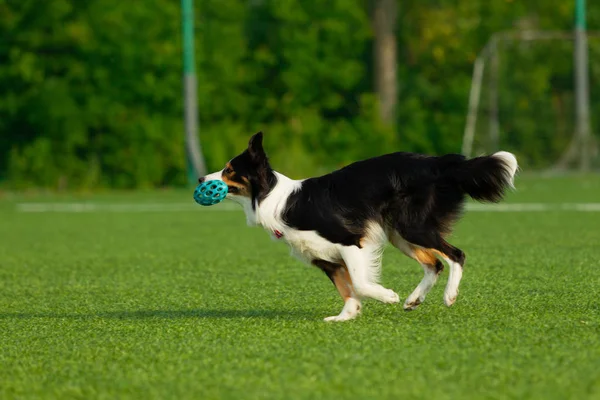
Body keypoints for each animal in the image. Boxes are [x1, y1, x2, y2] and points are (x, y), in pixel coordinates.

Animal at [199, 132, 516, 322]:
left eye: (229, 170)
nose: (201, 178)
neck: (275, 199)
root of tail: (439, 163)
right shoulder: (324, 259)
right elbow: (347, 289)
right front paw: (346, 316)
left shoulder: (350, 241)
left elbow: (361, 283)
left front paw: (387, 296)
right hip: (398, 234)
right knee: (434, 263)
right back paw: (414, 299)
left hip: (411, 226)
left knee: (456, 255)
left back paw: (448, 295)